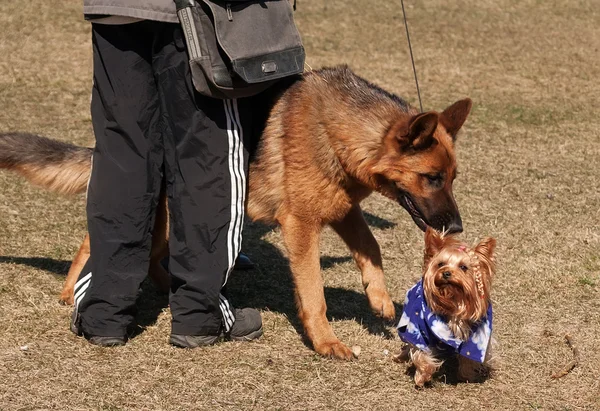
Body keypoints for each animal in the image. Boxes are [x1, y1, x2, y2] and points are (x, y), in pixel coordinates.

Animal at [0, 66, 468, 358]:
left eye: (452, 177)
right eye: (431, 178)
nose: (457, 227)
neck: (338, 130)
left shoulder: (340, 207)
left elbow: (371, 246)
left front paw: (379, 298)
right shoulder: (302, 225)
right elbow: (314, 292)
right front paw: (326, 343)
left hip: (171, 218)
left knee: (151, 255)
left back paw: (176, 288)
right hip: (164, 214)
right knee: (95, 241)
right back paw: (71, 290)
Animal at [398, 229, 496, 386]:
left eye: (463, 267)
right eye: (440, 264)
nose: (446, 273)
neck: (454, 300)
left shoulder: (477, 334)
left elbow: (469, 355)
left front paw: (467, 375)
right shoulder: (418, 328)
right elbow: (420, 351)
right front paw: (422, 377)